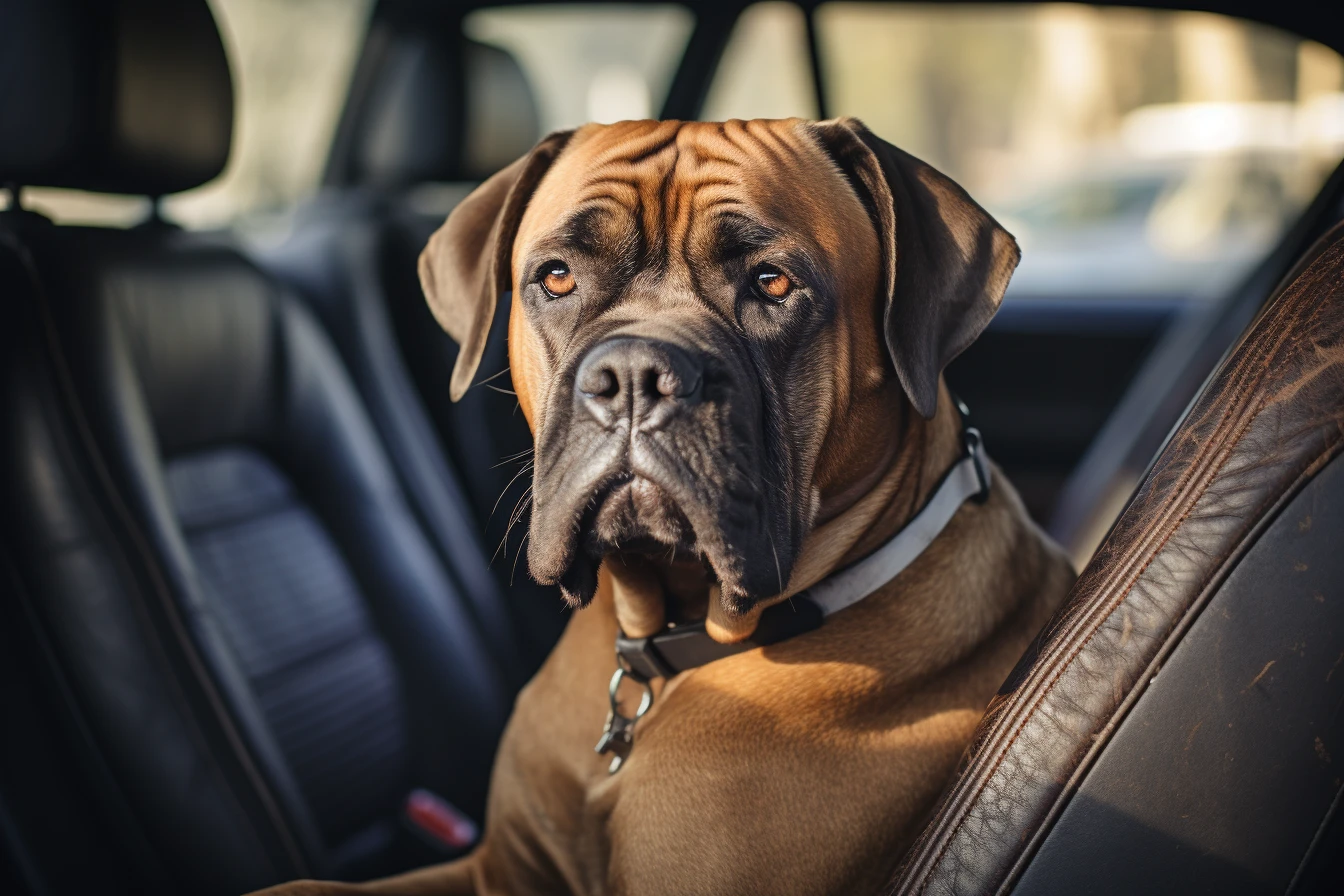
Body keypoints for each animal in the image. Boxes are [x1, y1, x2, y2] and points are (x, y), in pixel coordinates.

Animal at [252, 117, 1069, 891]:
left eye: (772, 282)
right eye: (556, 277)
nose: (635, 374)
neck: (669, 648)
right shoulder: (501, 870)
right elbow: (300, 887)